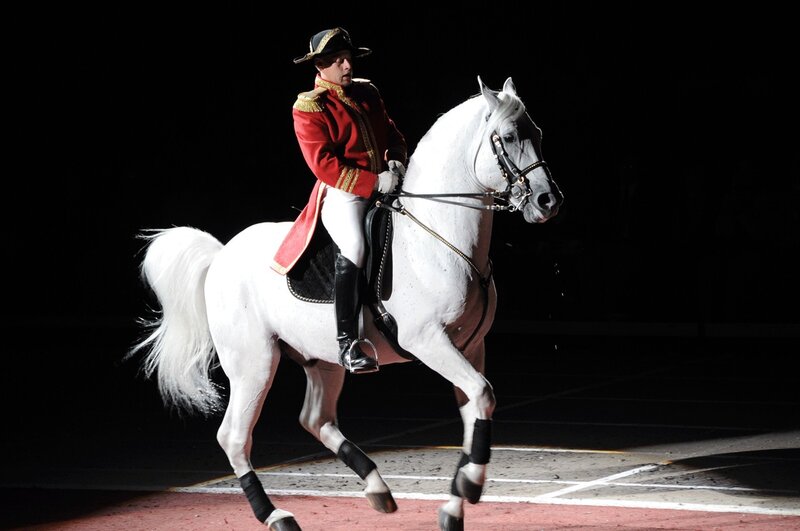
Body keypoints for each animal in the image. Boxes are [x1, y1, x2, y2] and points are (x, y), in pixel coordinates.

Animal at [128, 75, 563, 531]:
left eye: (538, 133)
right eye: (509, 137)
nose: (549, 201)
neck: (437, 237)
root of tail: (220, 256)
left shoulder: (471, 346)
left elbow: (475, 409)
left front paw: (455, 502)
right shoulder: (430, 342)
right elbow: (482, 395)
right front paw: (470, 485)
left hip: (321, 360)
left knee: (315, 419)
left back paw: (376, 487)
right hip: (253, 363)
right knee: (234, 436)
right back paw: (277, 515)